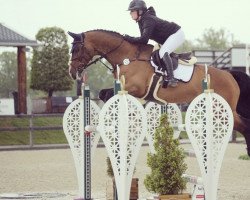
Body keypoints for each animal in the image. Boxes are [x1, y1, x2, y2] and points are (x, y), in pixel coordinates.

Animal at [67, 29, 250, 156]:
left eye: (76, 49)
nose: (72, 72)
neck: (127, 57)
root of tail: (229, 74)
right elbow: (103, 93)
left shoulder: (135, 89)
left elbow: (109, 94)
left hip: (224, 111)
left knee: (245, 125)